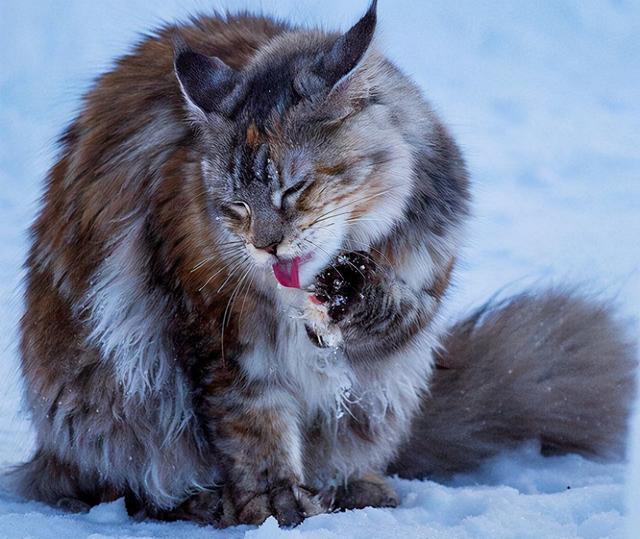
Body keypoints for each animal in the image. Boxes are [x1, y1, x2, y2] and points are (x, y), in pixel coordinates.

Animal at [10, 0, 636, 528]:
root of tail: (45, 454)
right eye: (236, 206)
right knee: (122, 485)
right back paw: (207, 502)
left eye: (294, 189)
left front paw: (352, 295)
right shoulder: (221, 336)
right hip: (108, 400)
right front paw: (274, 503)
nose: (266, 245)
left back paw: (355, 487)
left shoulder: (423, 282)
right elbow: (254, 426)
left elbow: (390, 311)